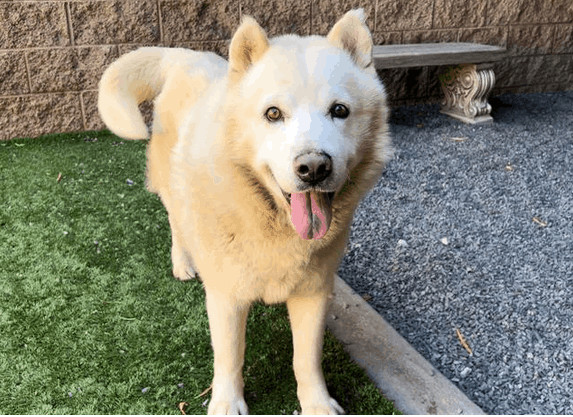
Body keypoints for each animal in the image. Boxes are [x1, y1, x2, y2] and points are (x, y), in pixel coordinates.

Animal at [99, 8, 388, 412]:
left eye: (340, 111)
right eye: (273, 113)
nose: (314, 168)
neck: (271, 222)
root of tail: (183, 54)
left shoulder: (313, 294)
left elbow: (306, 359)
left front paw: (316, 404)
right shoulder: (226, 296)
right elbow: (230, 356)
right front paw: (226, 403)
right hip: (171, 188)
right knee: (176, 223)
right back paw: (182, 263)